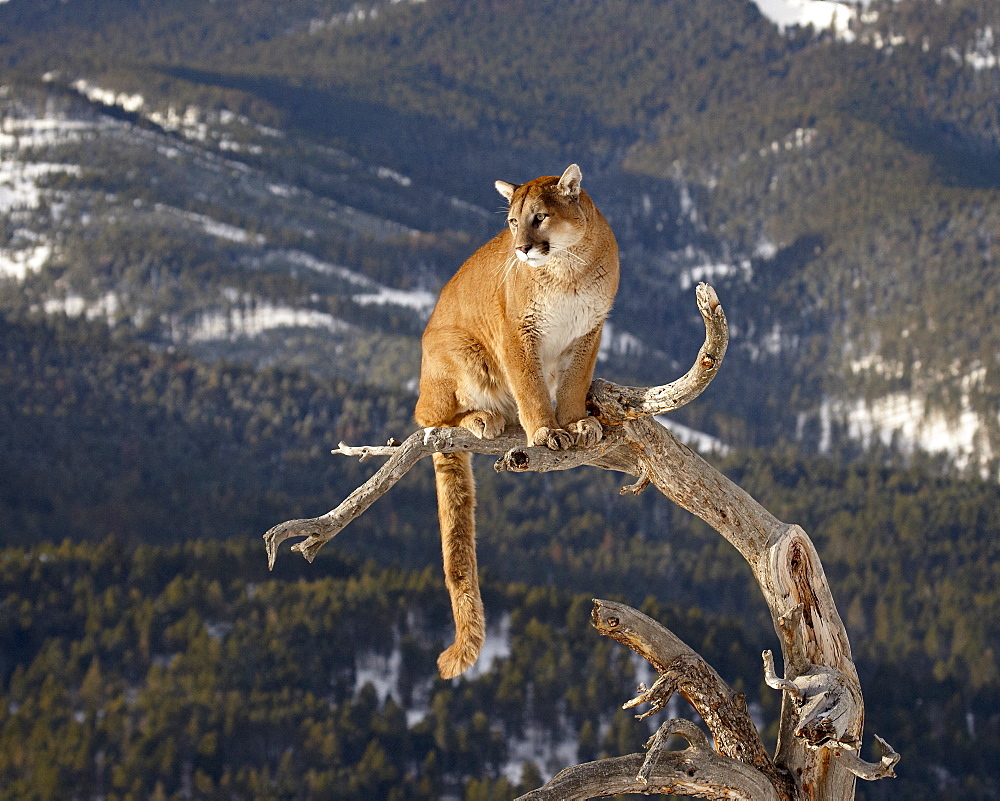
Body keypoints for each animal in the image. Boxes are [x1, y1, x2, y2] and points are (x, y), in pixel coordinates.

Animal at [414, 166, 616, 680]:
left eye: (539, 217)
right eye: (511, 221)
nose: (522, 248)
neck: (566, 271)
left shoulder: (588, 333)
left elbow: (573, 383)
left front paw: (577, 423)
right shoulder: (516, 333)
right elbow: (529, 386)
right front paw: (546, 430)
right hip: (461, 351)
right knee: (427, 417)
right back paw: (483, 417)